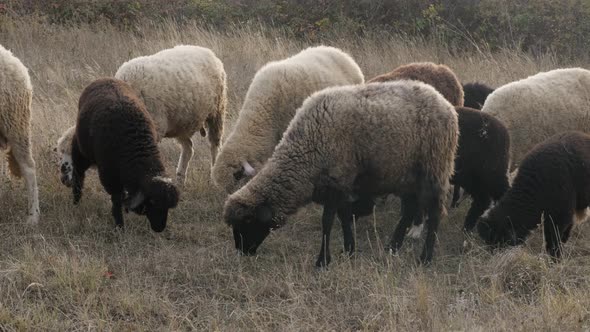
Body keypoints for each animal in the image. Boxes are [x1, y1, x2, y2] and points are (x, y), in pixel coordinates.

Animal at [56, 44, 227, 185]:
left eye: (73, 152)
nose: (63, 180)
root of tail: (207, 51)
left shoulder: (154, 128)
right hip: (181, 121)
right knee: (189, 148)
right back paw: (180, 180)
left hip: (217, 111)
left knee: (215, 145)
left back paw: (213, 178)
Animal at [70, 79, 180, 232]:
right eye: (152, 203)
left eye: (167, 208)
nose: (159, 228)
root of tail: (103, 79)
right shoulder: (110, 178)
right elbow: (116, 201)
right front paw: (120, 226)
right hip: (82, 151)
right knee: (78, 174)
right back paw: (76, 201)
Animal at [224, 81, 460, 268]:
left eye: (246, 222)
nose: (242, 252)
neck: (307, 149)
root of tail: (446, 104)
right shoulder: (343, 184)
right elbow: (345, 216)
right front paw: (349, 250)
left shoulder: (336, 181)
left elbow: (327, 222)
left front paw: (322, 261)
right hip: (405, 174)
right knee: (409, 209)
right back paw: (393, 247)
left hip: (434, 169)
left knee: (435, 212)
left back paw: (425, 258)